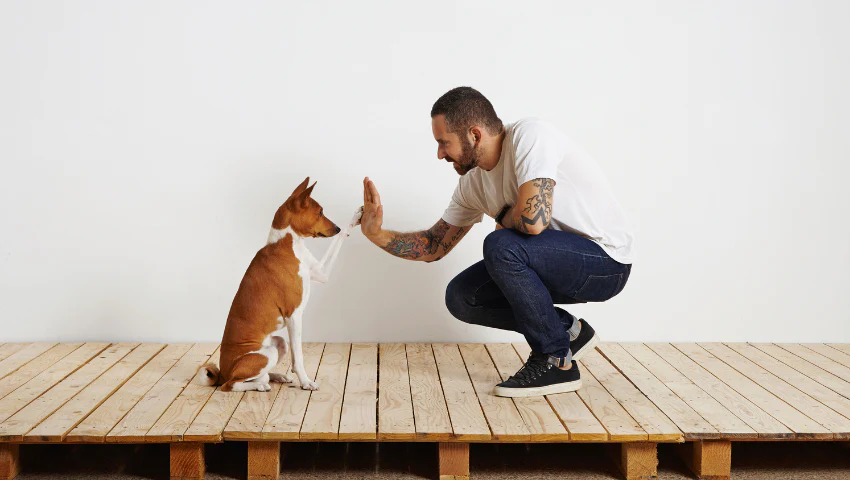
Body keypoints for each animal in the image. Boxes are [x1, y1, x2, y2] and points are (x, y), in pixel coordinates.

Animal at [195, 178, 362, 392]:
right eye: (320, 212)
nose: (337, 228)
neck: (288, 244)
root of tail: (223, 372)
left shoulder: (322, 273)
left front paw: (356, 217)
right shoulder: (294, 315)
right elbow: (298, 357)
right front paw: (306, 382)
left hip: (279, 343)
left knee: (261, 374)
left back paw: (276, 377)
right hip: (264, 355)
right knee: (231, 385)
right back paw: (260, 385)